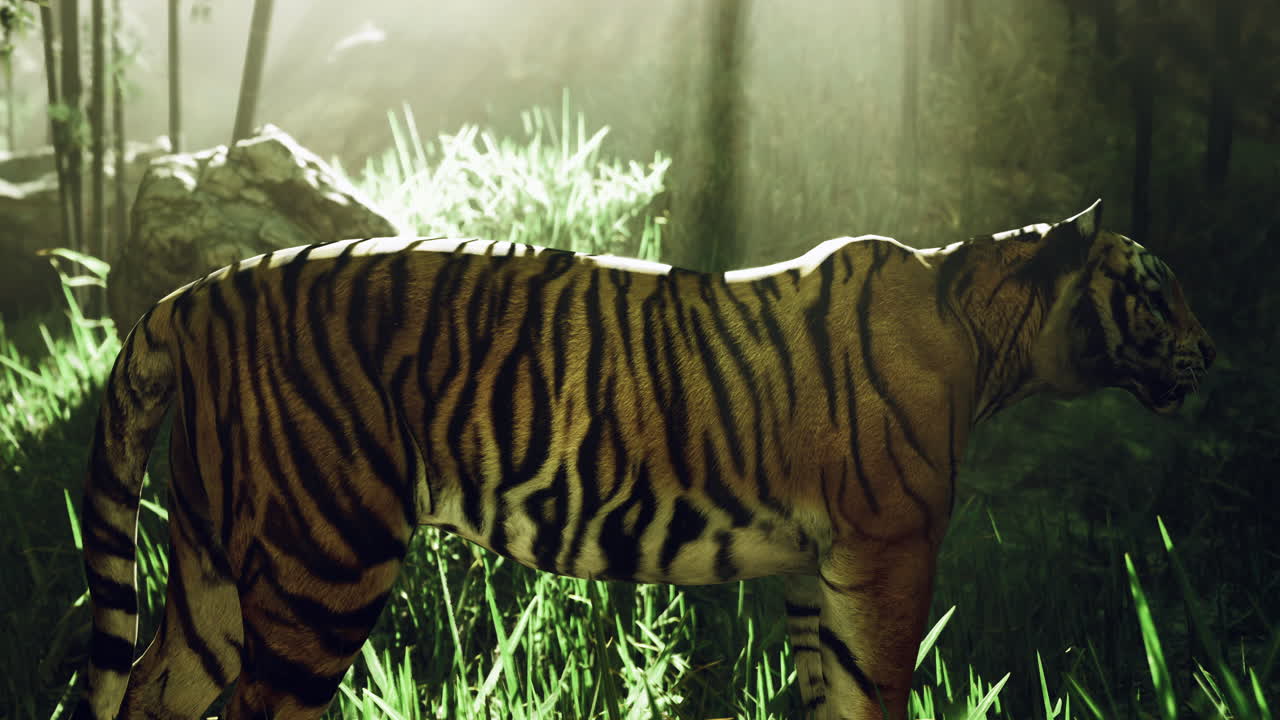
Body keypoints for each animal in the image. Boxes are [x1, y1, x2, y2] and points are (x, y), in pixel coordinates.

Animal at [71, 198, 1213, 720]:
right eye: (1155, 292)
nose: (1212, 354)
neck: (986, 335)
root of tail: (191, 296)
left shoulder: (818, 569)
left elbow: (826, 696)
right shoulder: (886, 553)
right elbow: (874, 694)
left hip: (220, 572)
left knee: (148, 688)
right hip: (324, 560)